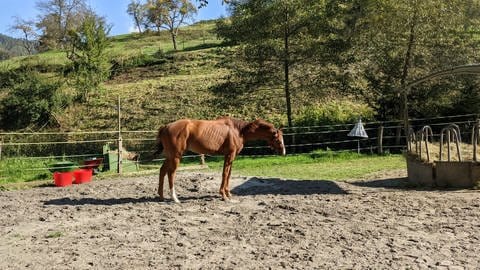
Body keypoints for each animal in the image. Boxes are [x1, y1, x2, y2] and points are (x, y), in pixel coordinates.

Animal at [156, 116, 286, 202]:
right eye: (278, 139)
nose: (283, 152)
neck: (238, 131)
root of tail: (166, 127)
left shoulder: (231, 157)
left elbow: (228, 174)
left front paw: (228, 194)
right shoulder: (229, 155)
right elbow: (225, 174)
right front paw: (223, 195)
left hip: (170, 156)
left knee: (162, 171)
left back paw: (161, 196)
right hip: (176, 156)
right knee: (171, 173)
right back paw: (175, 198)